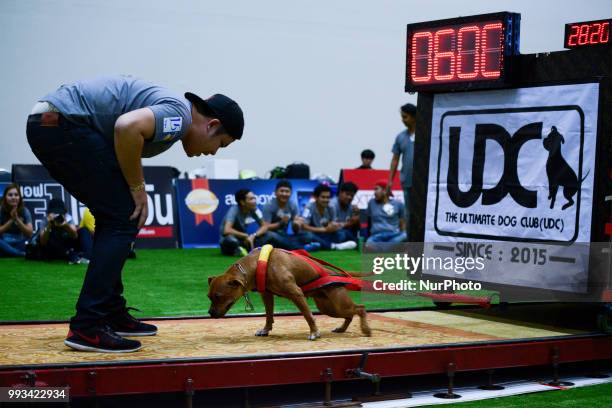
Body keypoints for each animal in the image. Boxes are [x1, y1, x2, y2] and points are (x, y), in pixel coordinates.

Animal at [206, 247, 370, 340]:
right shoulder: (267, 295)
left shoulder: (296, 294)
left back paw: (366, 329)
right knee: (350, 314)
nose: (210, 313)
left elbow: (308, 316)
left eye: (218, 296)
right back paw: (342, 329)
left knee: (360, 308)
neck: (255, 265)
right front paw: (265, 330)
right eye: (209, 296)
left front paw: (314, 332)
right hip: (329, 308)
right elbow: (269, 315)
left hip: (337, 305)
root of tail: (336, 274)